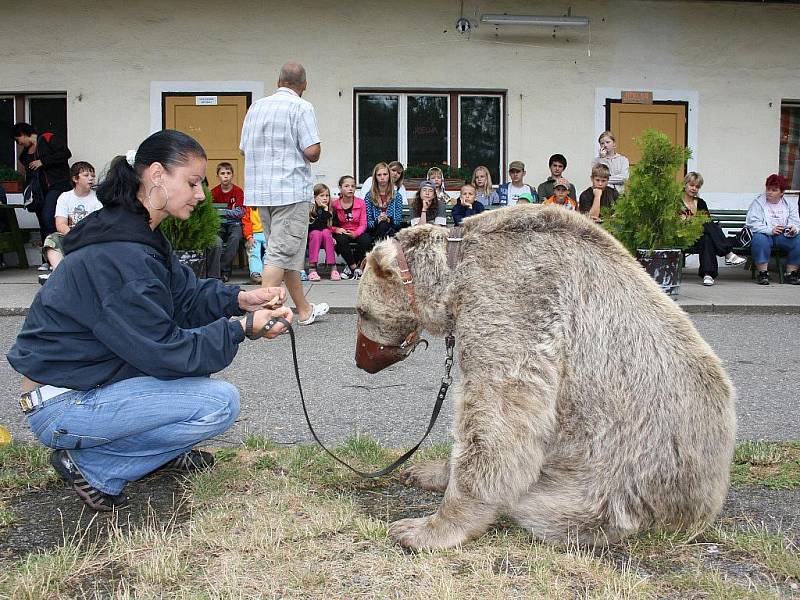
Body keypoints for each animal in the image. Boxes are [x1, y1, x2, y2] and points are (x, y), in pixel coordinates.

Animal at [356, 205, 736, 548]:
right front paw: (425, 470)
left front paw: (423, 528)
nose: (361, 361)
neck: (453, 278)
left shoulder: (514, 297)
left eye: (362, 312)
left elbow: (499, 413)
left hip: (614, 484)